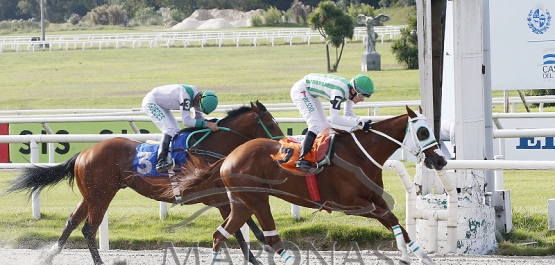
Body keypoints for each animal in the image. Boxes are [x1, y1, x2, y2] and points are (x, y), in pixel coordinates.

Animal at [7, 100, 286, 262]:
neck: (209, 149)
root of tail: (84, 153)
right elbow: (238, 234)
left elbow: (251, 230)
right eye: (272, 123)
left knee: (72, 221)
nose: (283, 146)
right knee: (88, 228)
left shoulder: (228, 198)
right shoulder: (219, 200)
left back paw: (48, 255)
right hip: (102, 194)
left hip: (91, 194)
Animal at [208, 105, 448, 264]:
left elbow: (397, 224)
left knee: (220, 235)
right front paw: (405, 256)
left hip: (242, 203)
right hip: (257, 200)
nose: (441, 161)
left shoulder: (375, 200)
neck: (359, 155)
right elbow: (391, 219)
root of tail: (229, 157)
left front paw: (422, 256)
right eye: (423, 132)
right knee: (272, 240)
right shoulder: (352, 205)